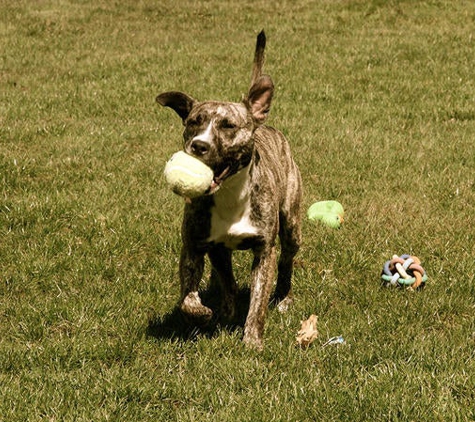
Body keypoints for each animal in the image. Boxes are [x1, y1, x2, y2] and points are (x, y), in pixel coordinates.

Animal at [158, 29, 304, 350]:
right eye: (193, 122)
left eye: (228, 125)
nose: (198, 145)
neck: (229, 194)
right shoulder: (196, 245)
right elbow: (190, 295)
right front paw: (204, 312)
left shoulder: (264, 251)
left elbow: (258, 301)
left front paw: (252, 339)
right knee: (226, 279)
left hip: (291, 223)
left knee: (287, 260)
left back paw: (284, 297)